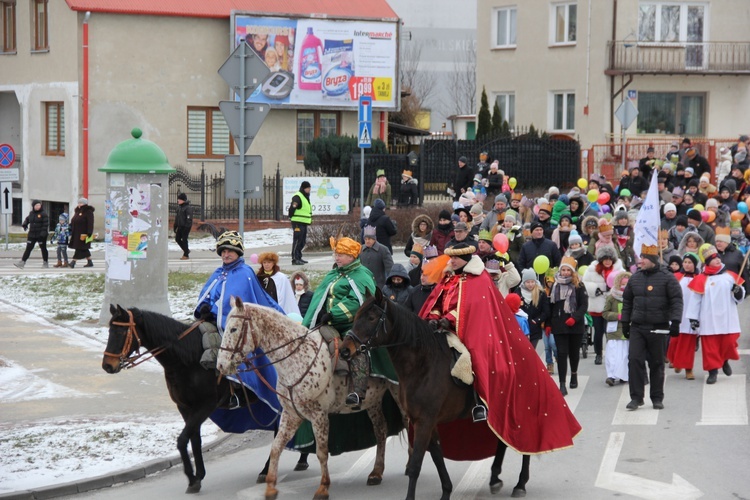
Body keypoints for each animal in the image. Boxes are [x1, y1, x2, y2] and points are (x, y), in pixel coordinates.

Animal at [102, 304, 308, 492]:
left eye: (121, 332)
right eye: (110, 330)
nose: (107, 366)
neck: (187, 358)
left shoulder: (206, 405)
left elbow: (182, 439)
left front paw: (192, 478)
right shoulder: (185, 408)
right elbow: (194, 439)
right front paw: (198, 475)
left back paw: (270, 469)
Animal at [217, 296, 406, 500]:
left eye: (233, 329)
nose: (221, 365)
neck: (296, 358)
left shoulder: (319, 415)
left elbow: (321, 452)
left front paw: (323, 488)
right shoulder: (291, 415)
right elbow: (276, 448)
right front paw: (270, 488)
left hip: (398, 392)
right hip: (372, 401)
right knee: (381, 430)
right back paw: (376, 473)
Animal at [340, 292, 528, 500]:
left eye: (372, 318)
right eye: (357, 315)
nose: (344, 350)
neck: (422, 364)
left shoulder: (425, 421)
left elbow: (416, 465)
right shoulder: (423, 421)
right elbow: (437, 456)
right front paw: (446, 491)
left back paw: (520, 484)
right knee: (502, 441)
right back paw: (495, 478)